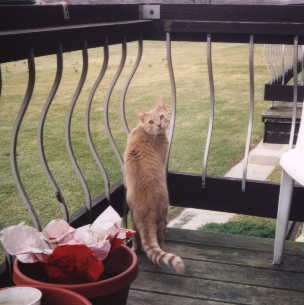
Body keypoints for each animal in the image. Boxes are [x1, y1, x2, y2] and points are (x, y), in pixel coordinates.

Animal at [123, 103, 185, 272]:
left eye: (162, 116)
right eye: (151, 121)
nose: (159, 124)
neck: (144, 130)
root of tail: (145, 210)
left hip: (134, 221)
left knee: (138, 240)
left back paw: (136, 249)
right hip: (163, 213)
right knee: (160, 236)